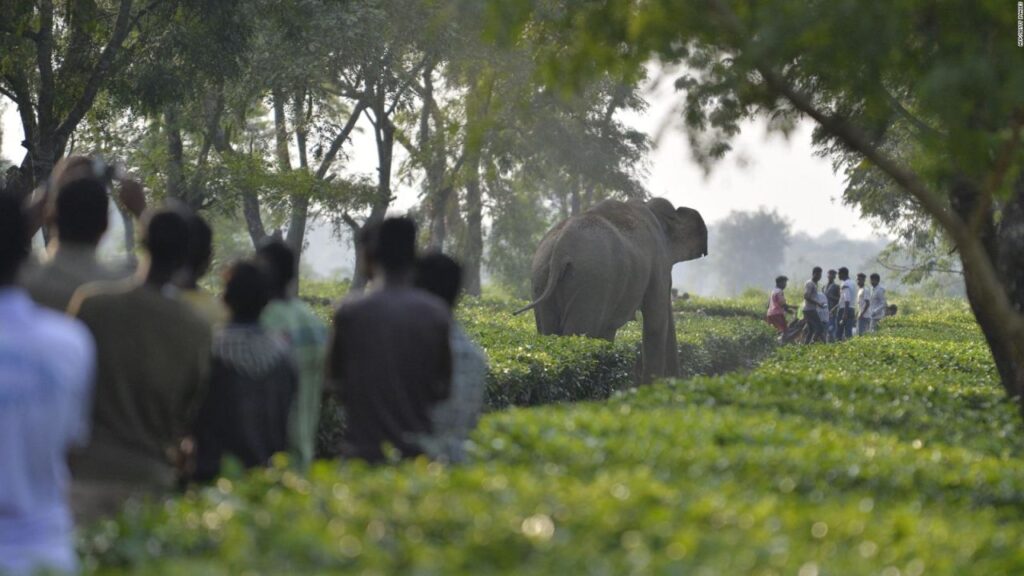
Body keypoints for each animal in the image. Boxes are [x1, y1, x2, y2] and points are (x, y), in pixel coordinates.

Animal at [515, 198, 708, 382]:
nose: (677, 380)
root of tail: (561, 248)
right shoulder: (658, 262)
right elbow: (655, 322)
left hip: (542, 274)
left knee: (548, 330)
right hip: (591, 281)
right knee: (580, 331)